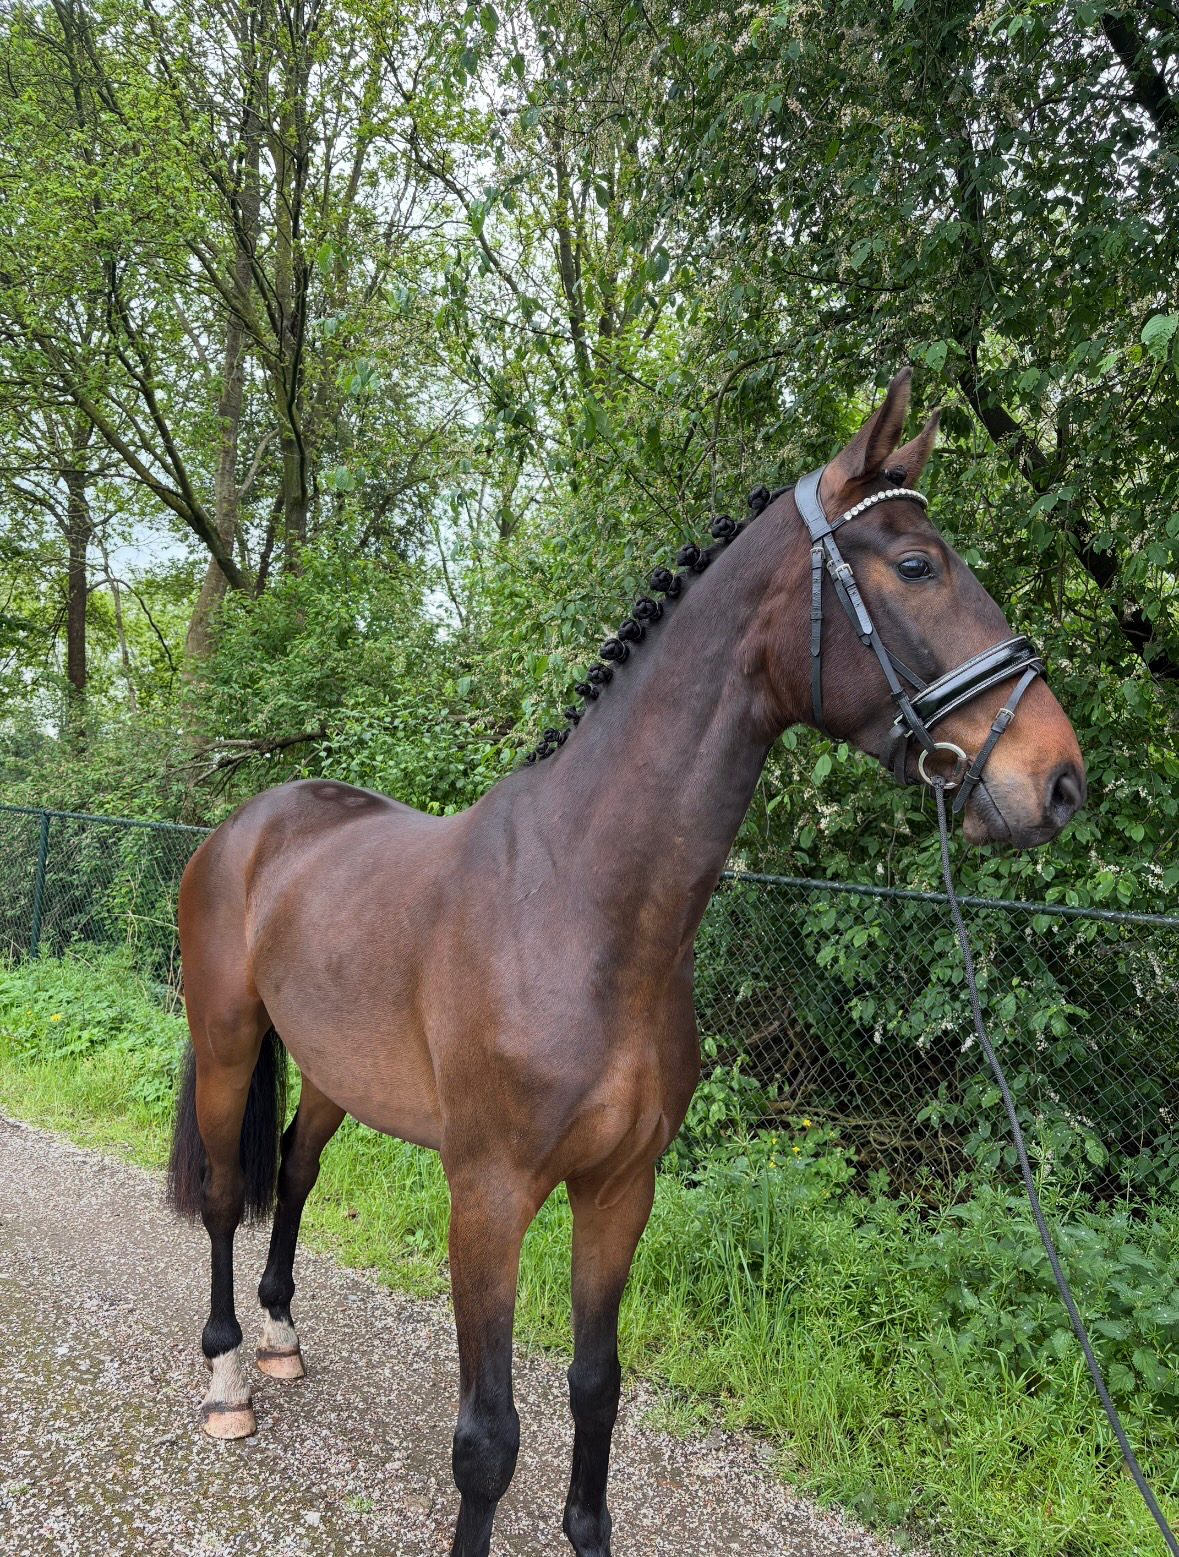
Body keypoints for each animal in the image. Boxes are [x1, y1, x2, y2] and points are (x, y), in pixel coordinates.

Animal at [166, 369, 1084, 1557]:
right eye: (918, 565)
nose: (1058, 779)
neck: (583, 906)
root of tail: (248, 823)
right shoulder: (489, 1197)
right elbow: (488, 1436)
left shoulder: (618, 1190)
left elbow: (595, 1388)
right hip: (229, 1040)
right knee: (225, 1192)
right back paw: (230, 1374)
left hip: (331, 1070)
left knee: (295, 1169)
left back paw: (280, 1334)